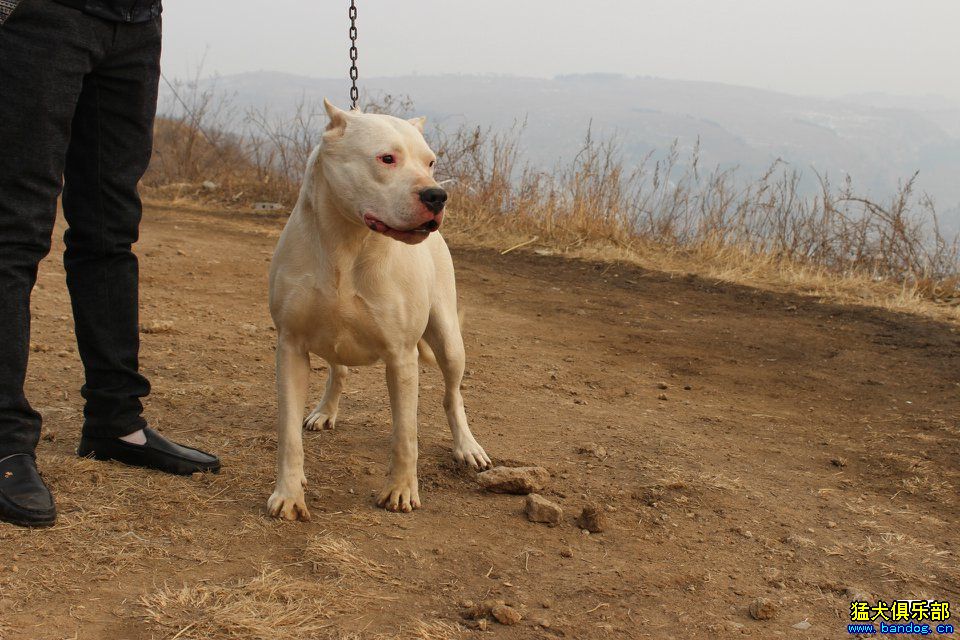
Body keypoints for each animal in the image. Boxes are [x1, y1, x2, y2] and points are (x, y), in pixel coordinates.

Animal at [266, 100, 492, 520]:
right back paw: (325, 410)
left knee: (452, 395)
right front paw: (289, 493)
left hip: (449, 341)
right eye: (387, 158)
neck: (348, 242)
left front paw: (400, 491)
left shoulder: (401, 357)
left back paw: (467, 447)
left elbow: (405, 433)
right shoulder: (291, 346)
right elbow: (287, 433)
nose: (437, 196)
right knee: (338, 371)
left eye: (431, 162)